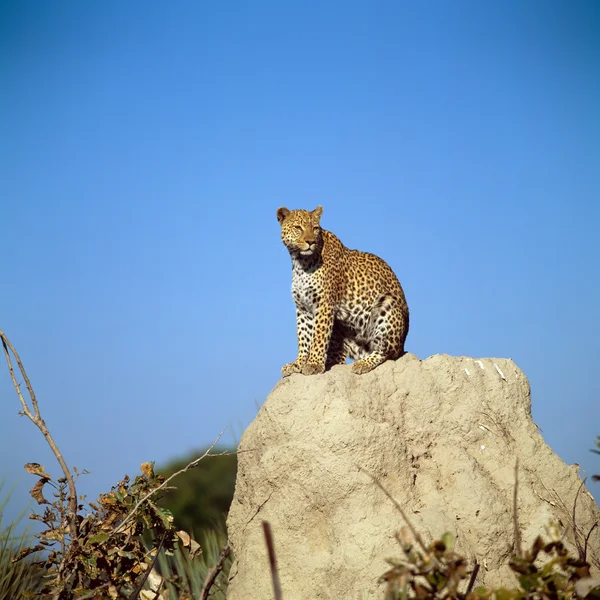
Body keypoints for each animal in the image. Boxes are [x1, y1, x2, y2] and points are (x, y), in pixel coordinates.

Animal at [276, 205, 408, 376]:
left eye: (315, 228)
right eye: (298, 228)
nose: (311, 242)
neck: (300, 262)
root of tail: (403, 346)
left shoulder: (325, 304)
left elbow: (319, 336)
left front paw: (313, 364)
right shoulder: (302, 307)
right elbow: (303, 336)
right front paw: (298, 363)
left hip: (387, 304)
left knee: (386, 352)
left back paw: (362, 364)